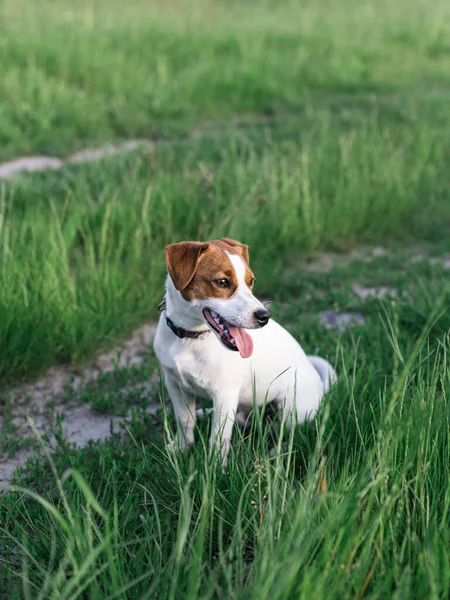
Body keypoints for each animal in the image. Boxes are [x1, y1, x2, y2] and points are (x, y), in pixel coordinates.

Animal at [153, 237, 336, 462]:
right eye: (222, 282)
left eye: (251, 281)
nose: (264, 316)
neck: (191, 338)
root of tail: (320, 386)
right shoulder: (175, 385)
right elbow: (185, 420)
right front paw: (181, 448)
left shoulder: (224, 394)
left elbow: (218, 438)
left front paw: (214, 466)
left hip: (291, 407)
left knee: (291, 432)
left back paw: (276, 452)